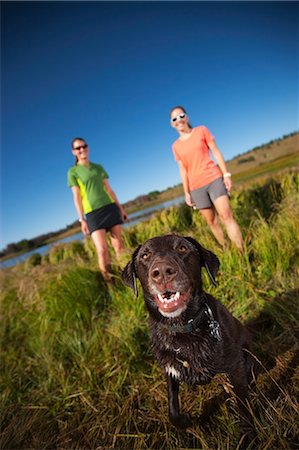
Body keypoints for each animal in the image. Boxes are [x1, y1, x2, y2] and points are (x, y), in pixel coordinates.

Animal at [122, 234, 255, 428]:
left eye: (182, 248)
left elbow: (244, 405)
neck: (182, 330)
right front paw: (185, 421)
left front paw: (249, 430)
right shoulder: (170, 371)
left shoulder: (235, 365)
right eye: (145, 255)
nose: (162, 272)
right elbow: (172, 410)